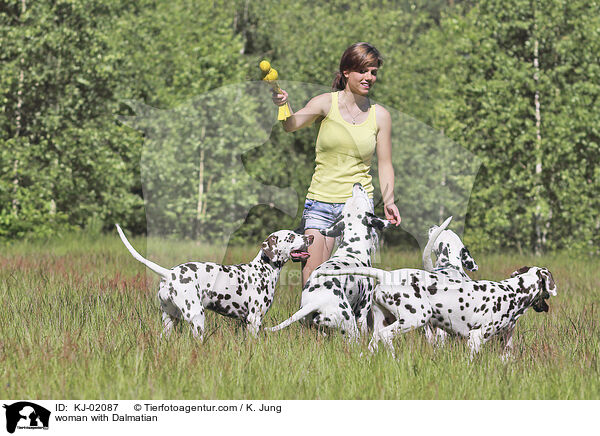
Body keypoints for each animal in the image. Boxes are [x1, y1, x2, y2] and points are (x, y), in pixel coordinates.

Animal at [116, 225, 314, 340]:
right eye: (290, 237)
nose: (310, 238)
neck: (262, 269)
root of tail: (169, 273)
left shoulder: (245, 321)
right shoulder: (254, 319)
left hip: (170, 319)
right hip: (197, 317)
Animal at [266, 184, 390, 340]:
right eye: (362, 197)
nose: (356, 185)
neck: (352, 249)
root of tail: (315, 302)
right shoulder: (363, 309)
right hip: (351, 325)